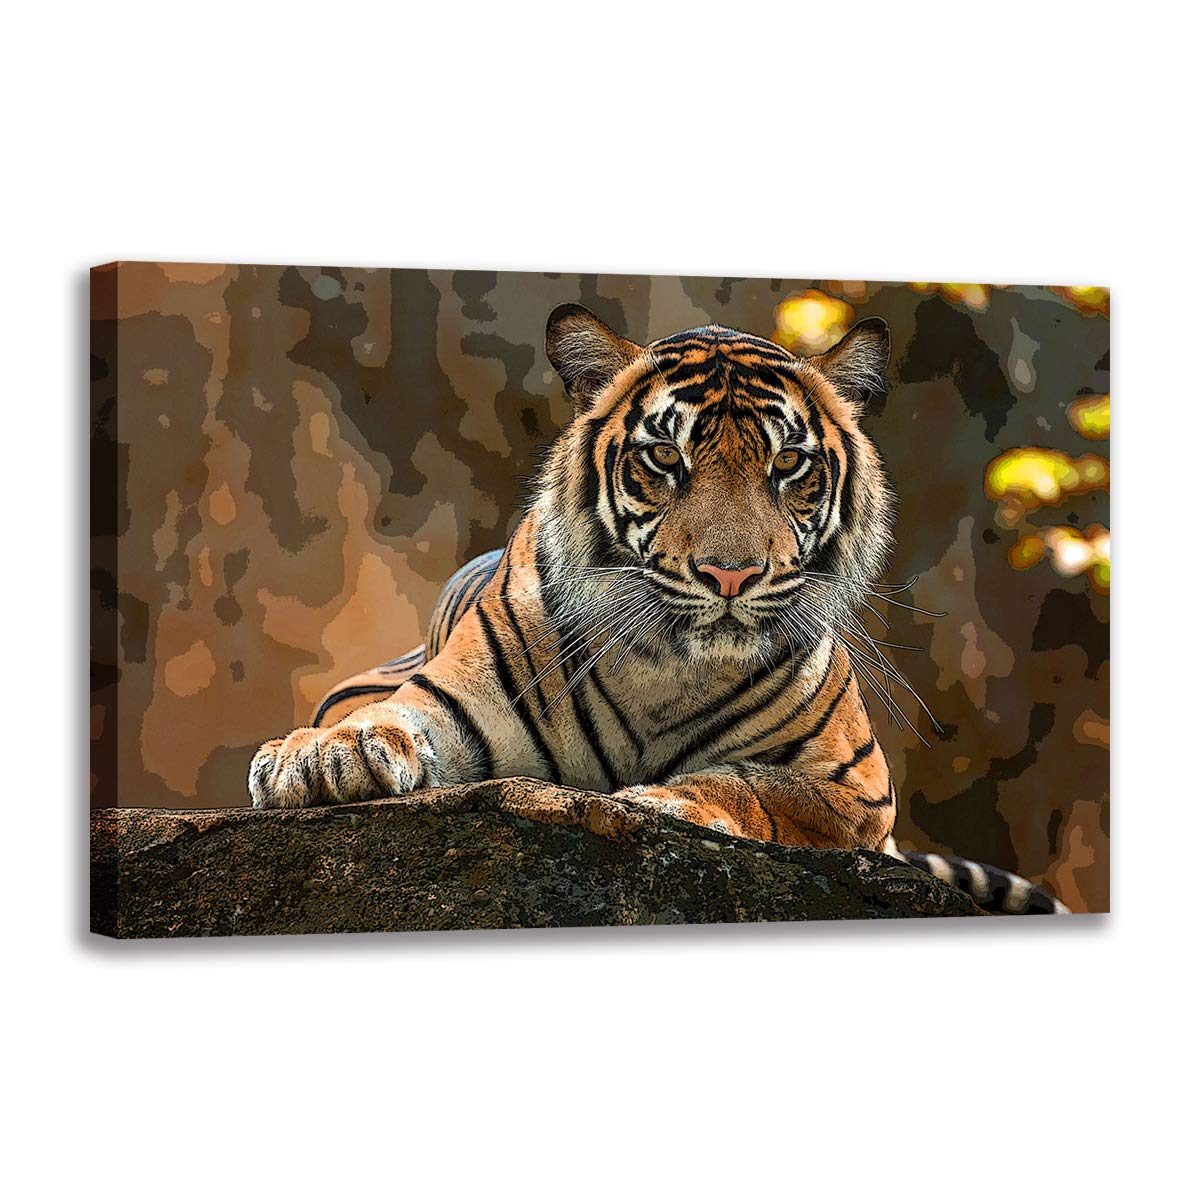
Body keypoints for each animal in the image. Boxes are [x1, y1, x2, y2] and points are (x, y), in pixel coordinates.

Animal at [249, 303, 1068, 916]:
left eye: (788, 464)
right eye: (665, 458)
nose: (730, 574)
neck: (666, 669)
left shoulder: (854, 787)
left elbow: (750, 784)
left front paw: (664, 804)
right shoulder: (447, 700)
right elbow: (385, 721)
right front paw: (319, 757)